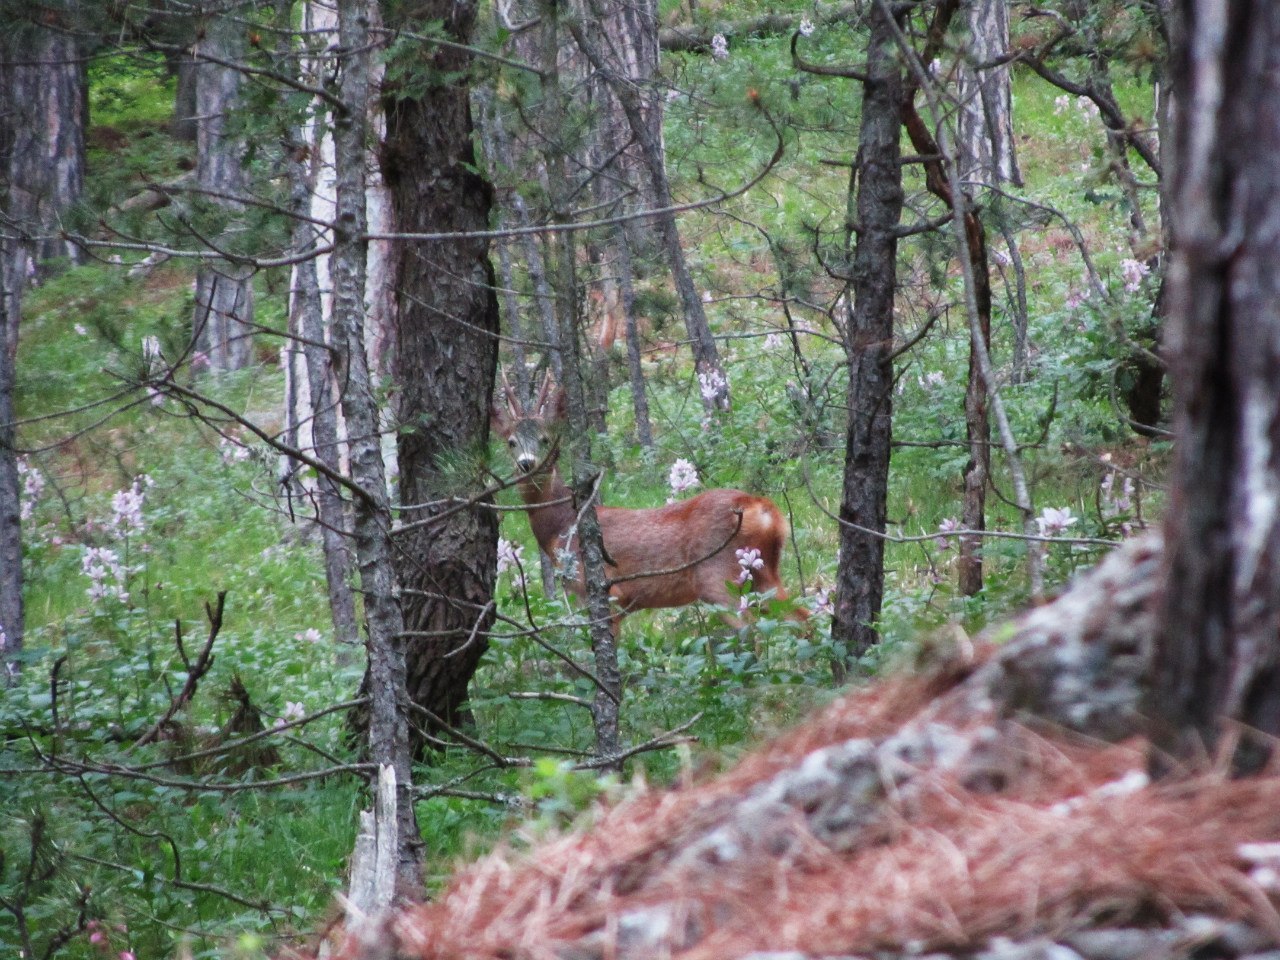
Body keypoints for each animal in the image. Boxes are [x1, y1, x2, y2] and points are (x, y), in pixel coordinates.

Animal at [486, 371, 798, 632]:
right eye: (511, 442)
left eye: (545, 439)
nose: (528, 464)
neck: (562, 525)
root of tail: (764, 510)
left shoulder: (604, 592)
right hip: (763, 575)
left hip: (720, 577)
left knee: (753, 632)